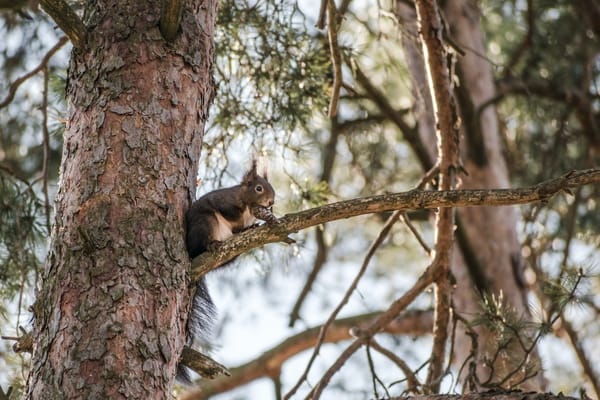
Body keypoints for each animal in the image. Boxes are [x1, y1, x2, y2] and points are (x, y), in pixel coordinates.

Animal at [177, 161, 278, 386]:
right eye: (259, 188)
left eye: (271, 187)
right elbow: (230, 212)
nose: (271, 202)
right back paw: (211, 245)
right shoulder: (224, 202)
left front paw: (253, 224)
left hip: (233, 255)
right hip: (205, 223)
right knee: (203, 244)